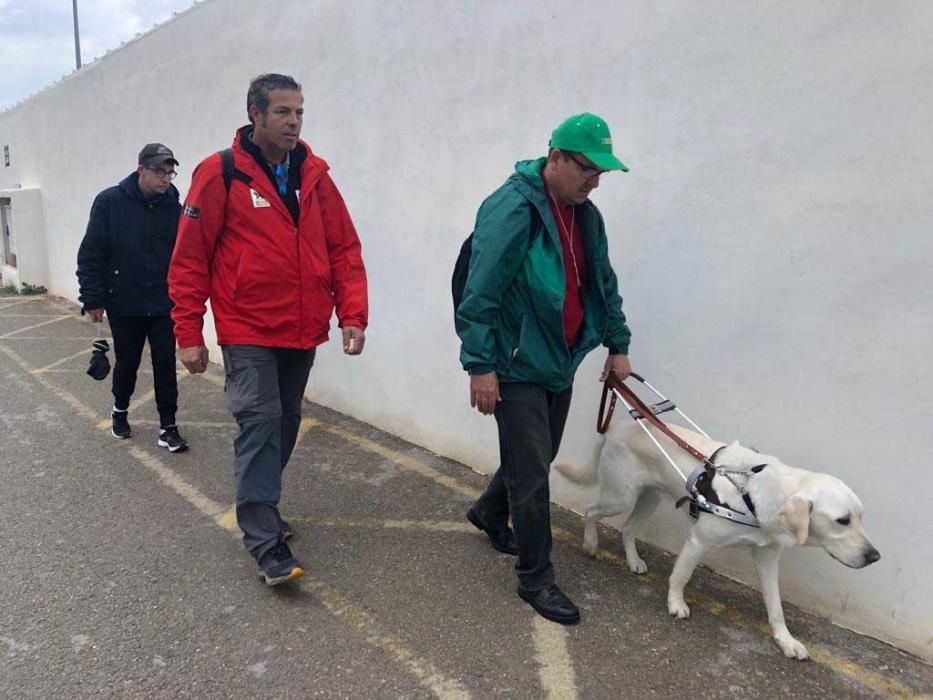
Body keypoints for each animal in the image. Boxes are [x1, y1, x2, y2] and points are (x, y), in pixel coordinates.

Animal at [552, 422, 880, 660]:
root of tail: (616, 426)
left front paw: (786, 641)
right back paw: (590, 544)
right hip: (620, 497)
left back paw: (633, 561)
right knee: (591, 510)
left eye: (861, 517)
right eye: (843, 520)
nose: (874, 556)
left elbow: (776, 606)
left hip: (649, 499)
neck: (757, 496)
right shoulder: (698, 541)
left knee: (628, 529)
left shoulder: (767, 558)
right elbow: (680, 576)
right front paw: (676, 604)